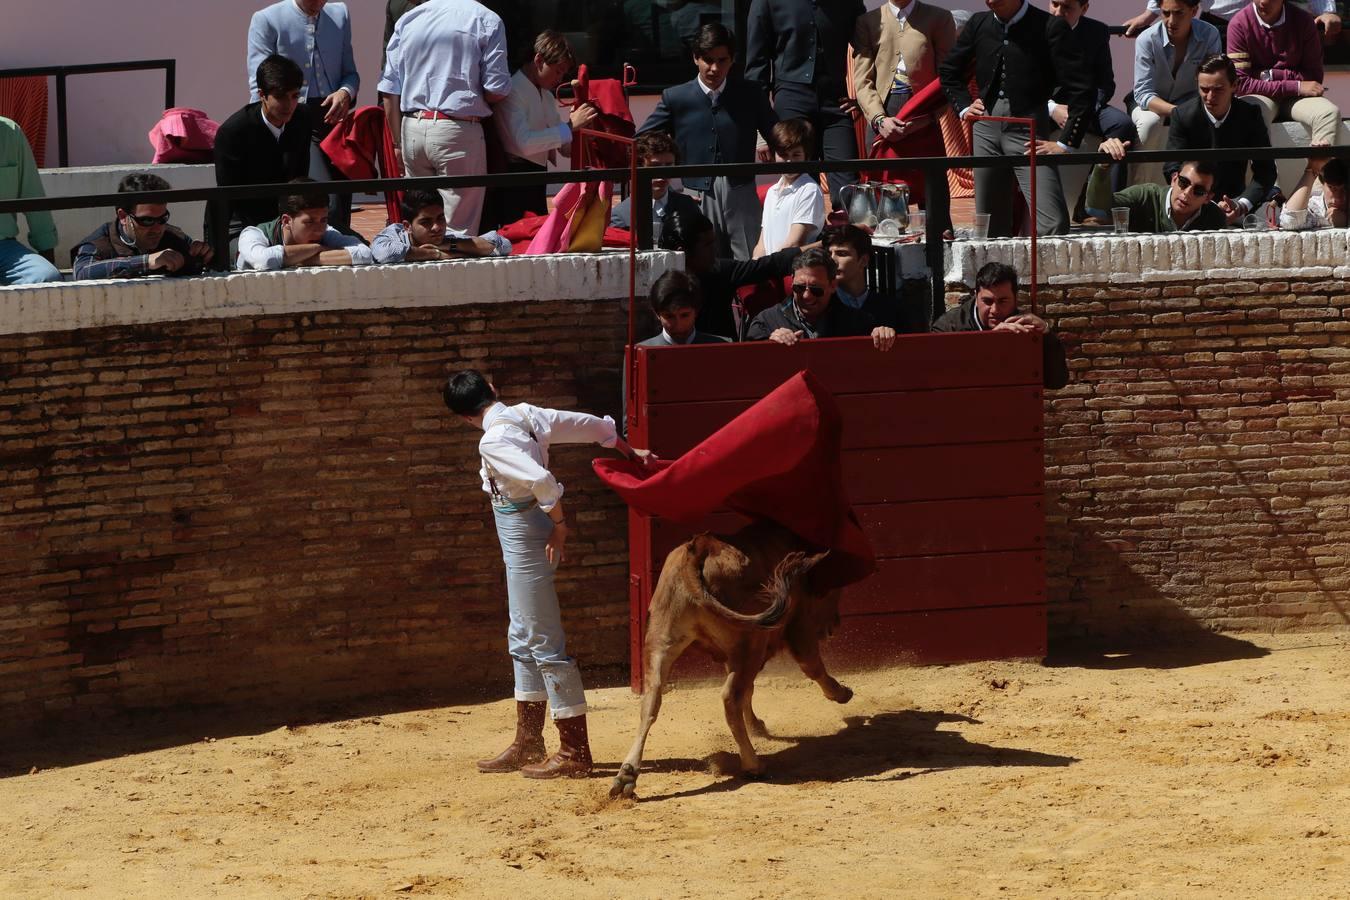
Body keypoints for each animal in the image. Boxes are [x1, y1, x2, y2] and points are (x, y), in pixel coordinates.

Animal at [612, 520, 853, 804]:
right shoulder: (798, 626)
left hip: (660, 641)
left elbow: (748, 691)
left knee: (652, 700)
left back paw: (626, 775)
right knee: (730, 697)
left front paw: (757, 726)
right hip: (749, 642)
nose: (835, 624)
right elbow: (811, 665)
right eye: (834, 591)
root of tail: (699, 549)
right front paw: (841, 693)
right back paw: (753, 765)